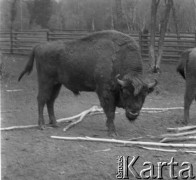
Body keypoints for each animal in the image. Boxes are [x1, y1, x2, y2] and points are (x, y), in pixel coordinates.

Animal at [18, 30, 158, 136]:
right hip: (45, 82)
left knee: (50, 101)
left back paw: (55, 123)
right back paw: (41, 125)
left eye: (145, 95)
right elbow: (110, 112)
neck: (118, 57)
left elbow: (110, 112)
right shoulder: (105, 92)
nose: (134, 112)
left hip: (56, 84)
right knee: (41, 99)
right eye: (126, 92)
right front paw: (112, 132)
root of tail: (39, 46)